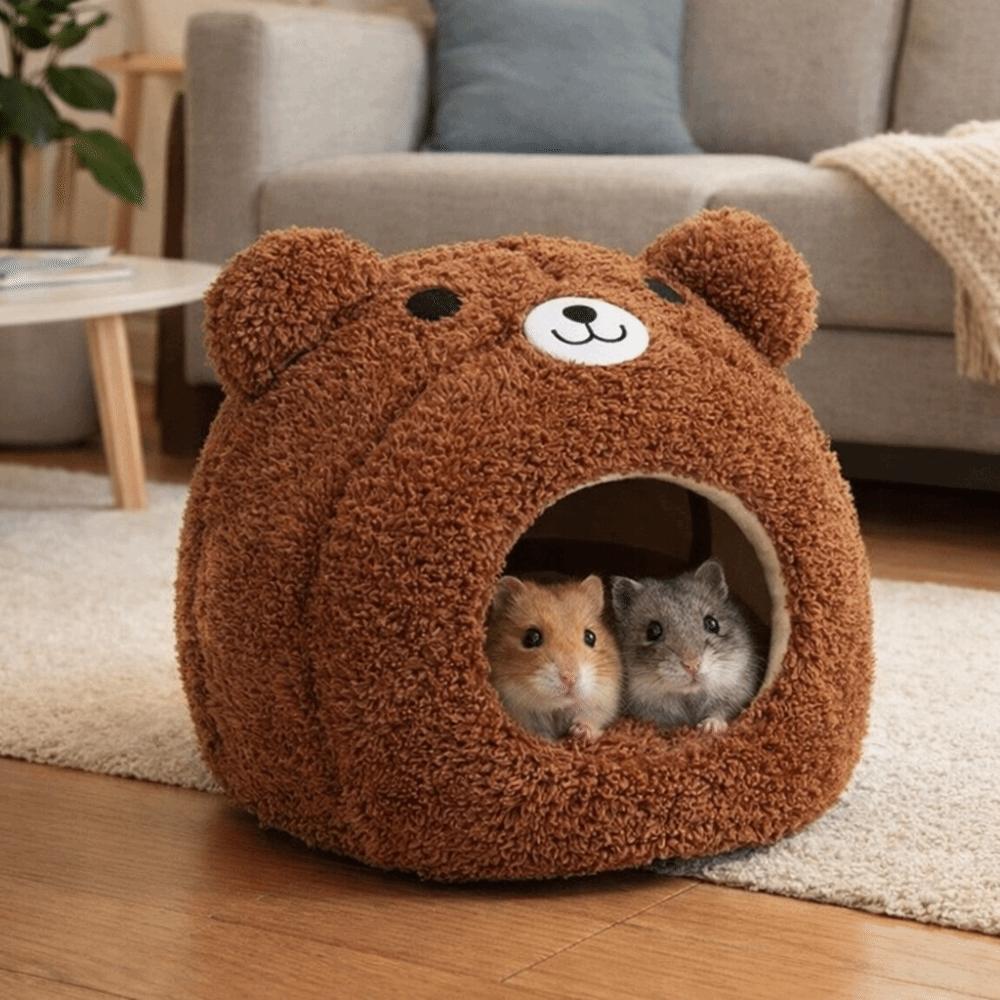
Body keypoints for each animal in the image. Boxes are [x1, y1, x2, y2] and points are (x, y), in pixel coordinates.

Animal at [486, 575, 622, 742]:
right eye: (531, 637)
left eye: (591, 637)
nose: (570, 678)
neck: (557, 708)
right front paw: (546, 739)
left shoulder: (603, 702)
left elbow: (590, 718)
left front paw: (581, 732)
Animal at [610, 559, 763, 734]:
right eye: (652, 631)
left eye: (712, 623)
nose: (692, 665)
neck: (689, 697)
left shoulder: (737, 692)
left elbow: (719, 711)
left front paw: (710, 727)